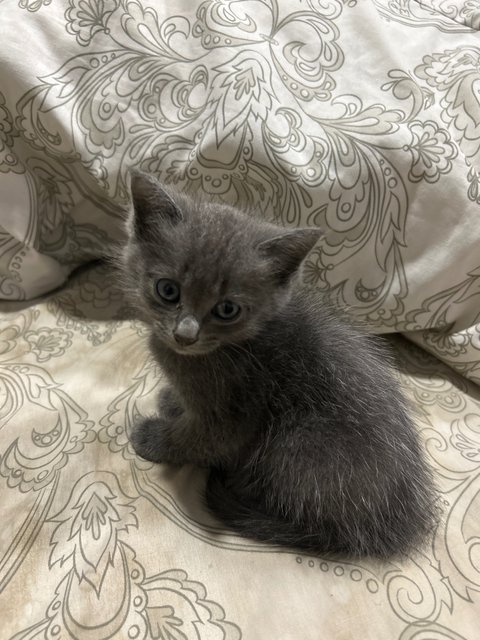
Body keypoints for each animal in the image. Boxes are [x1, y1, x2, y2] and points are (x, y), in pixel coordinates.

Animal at [118, 172, 436, 556]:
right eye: (167, 290)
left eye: (227, 309)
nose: (185, 334)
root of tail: (396, 526)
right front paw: (172, 401)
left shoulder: (233, 413)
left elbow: (198, 439)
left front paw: (154, 437)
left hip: (295, 442)